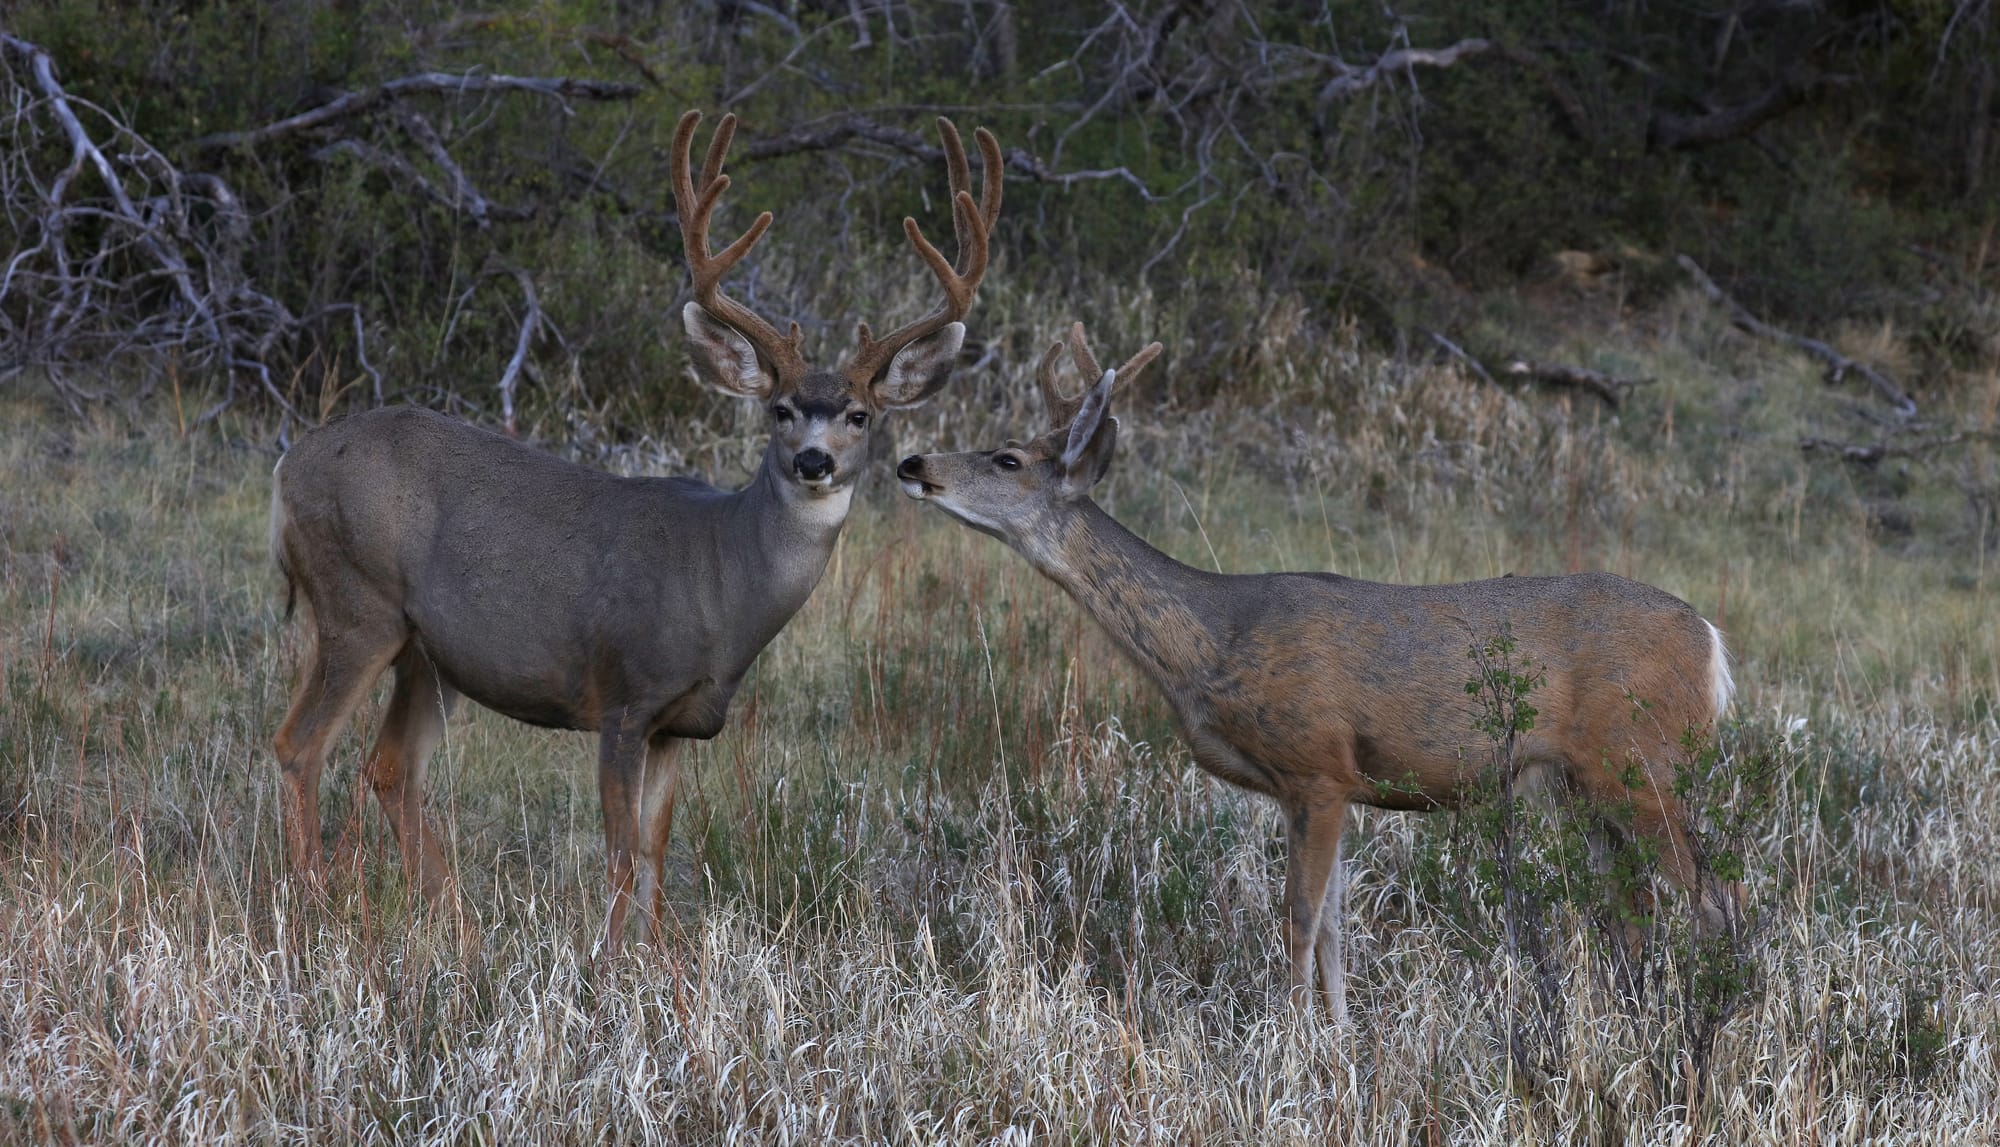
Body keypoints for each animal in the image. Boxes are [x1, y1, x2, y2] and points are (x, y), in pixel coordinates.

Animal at [270, 109, 1000, 951]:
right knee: (300, 744)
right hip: (357, 602)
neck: (721, 583)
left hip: (429, 653)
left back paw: (454, 926)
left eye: (860, 415)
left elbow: (653, 850)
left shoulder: (680, 722)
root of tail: (288, 467)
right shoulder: (624, 695)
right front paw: (613, 962)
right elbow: (619, 850)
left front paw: (654, 961)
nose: (813, 460)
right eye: (780, 408)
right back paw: (312, 909)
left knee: (389, 766)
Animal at [900, 323, 1744, 1023]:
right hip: (1586, 787)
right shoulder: (1317, 787)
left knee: (1717, 898)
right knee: (1633, 910)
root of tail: (1709, 638)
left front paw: (1290, 1045)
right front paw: (1342, 1042)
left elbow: (1299, 919)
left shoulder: (1318, 766)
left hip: (1645, 761)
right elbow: (1338, 924)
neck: (1212, 640)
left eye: (1007, 457)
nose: (913, 463)